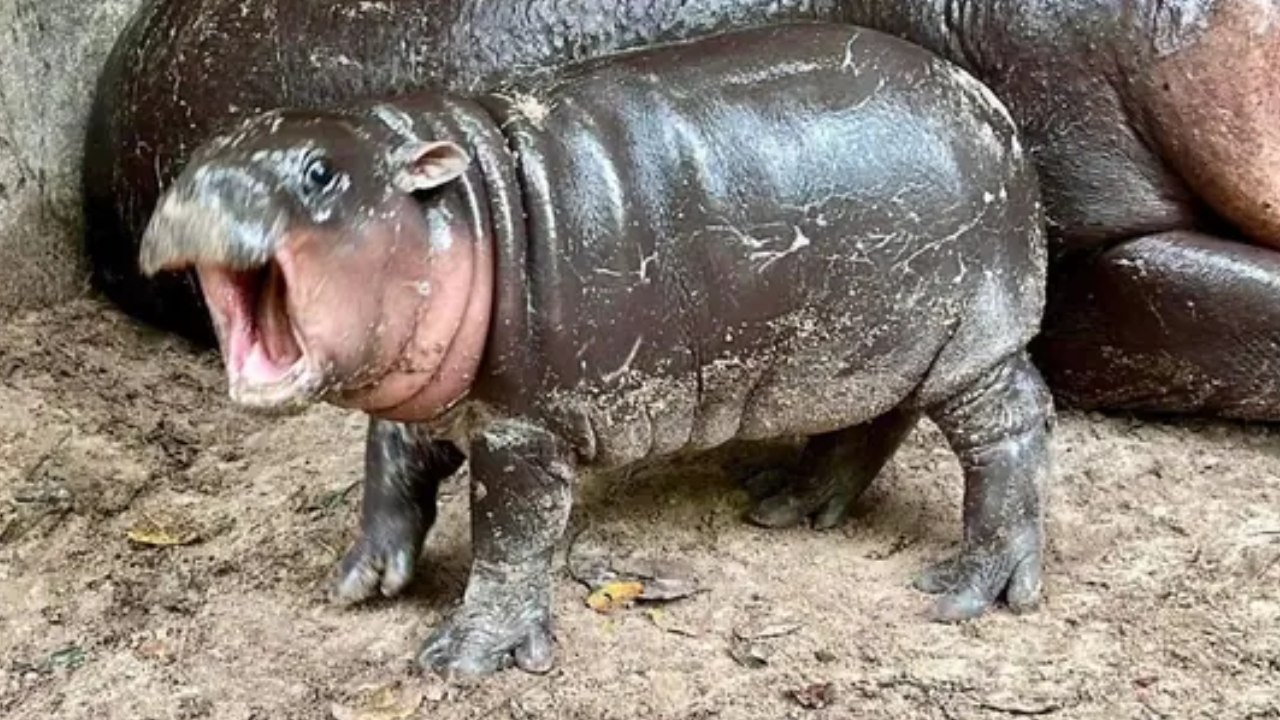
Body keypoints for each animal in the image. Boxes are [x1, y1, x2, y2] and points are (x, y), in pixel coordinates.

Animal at [142, 20, 1059, 671]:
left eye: (320, 173)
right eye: (196, 158)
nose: (196, 195)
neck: (464, 206)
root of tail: (991, 107)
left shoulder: (522, 428)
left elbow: (511, 536)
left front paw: (465, 658)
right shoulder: (427, 390)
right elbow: (391, 468)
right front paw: (361, 579)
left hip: (972, 341)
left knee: (1012, 427)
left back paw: (968, 590)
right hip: (864, 346)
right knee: (873, 420)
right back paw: (785, 501)